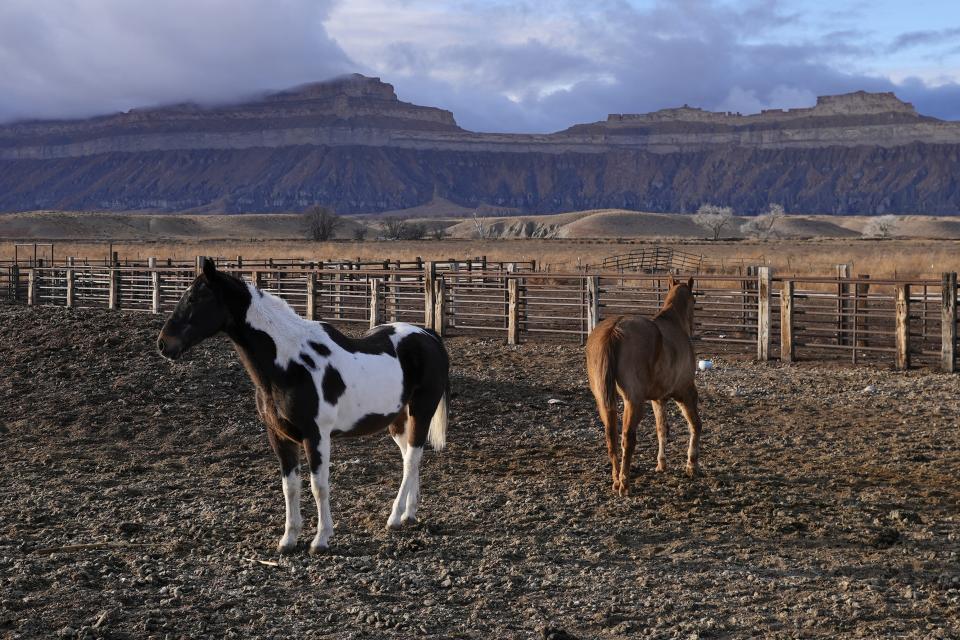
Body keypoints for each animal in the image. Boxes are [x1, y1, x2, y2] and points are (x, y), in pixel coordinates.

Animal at [158, 258, 450, 552]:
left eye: (195, 298)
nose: (163, 344)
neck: (289, 364)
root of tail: (427, 335)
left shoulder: (316, 435)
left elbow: (318, 486)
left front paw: (320, 539)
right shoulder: (279, 436)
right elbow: (290, 487)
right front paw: (288, 539)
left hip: (422, 410)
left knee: (412, 458)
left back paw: (394, 518)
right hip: (398, 419)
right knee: (409, 458)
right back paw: (408, 514)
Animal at [580, 276, 700, 496]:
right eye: (694, 302)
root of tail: (614, 330)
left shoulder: (658, 399)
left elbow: (661, 429)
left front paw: (661, 464)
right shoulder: (685, 392)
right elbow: (695, 424)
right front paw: (691, 466)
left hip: (604, 400)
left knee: (611, 436)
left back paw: (616, 479)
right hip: (633, 401)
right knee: (627, 437)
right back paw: (624, 483)